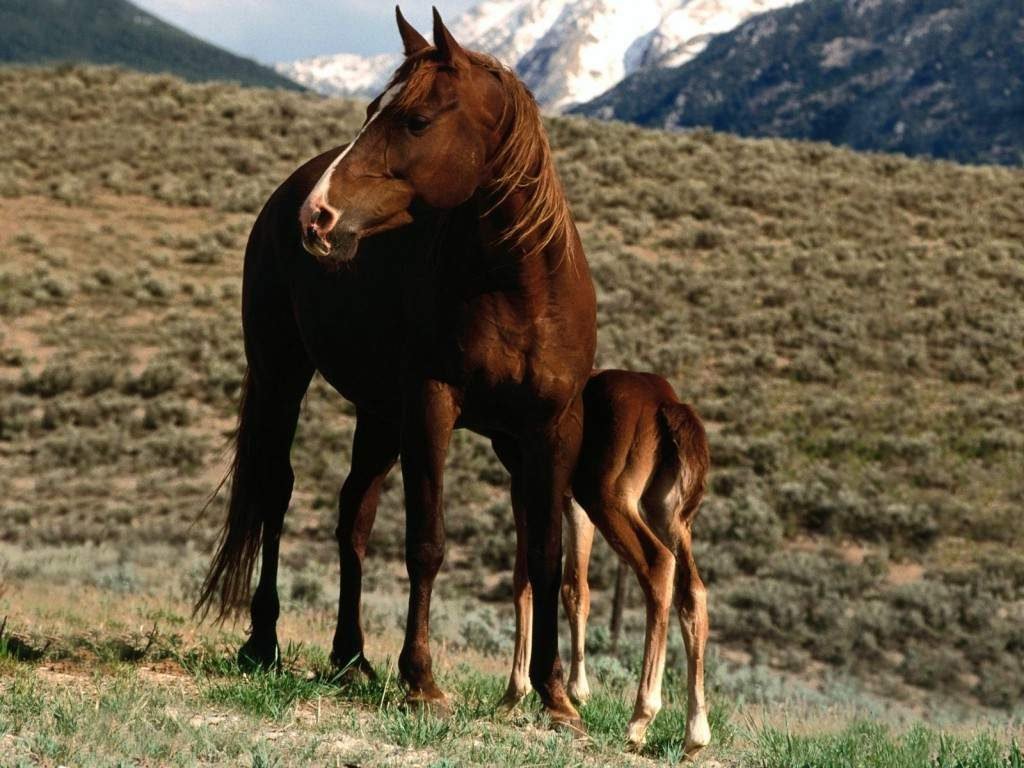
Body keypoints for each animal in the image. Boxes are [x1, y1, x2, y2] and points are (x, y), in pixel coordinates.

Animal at [194, 9, 598, 729]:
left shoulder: (551, 428)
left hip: (379, 415)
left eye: (415, 121)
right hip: (282, 377)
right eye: (369, 110)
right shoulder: (432, 406)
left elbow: (545, 558)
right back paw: (264, 641)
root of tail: (285, 191)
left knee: (353, 515)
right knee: (275, 489)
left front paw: (554, 697)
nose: (318, 217)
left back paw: (351, 657)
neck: (519, 288)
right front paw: (422, 681)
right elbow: (426, 543)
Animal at [501, 370, 712, 753]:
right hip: (667, 513)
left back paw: (640, 719)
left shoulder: (525, 484)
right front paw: (576, 694)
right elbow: (575, 589)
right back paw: (695, 733)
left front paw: (513, 695)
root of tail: (666, 403)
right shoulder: (570, 501)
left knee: (658, 564)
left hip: (609, 501)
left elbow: (524, 580)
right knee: (693, 591)